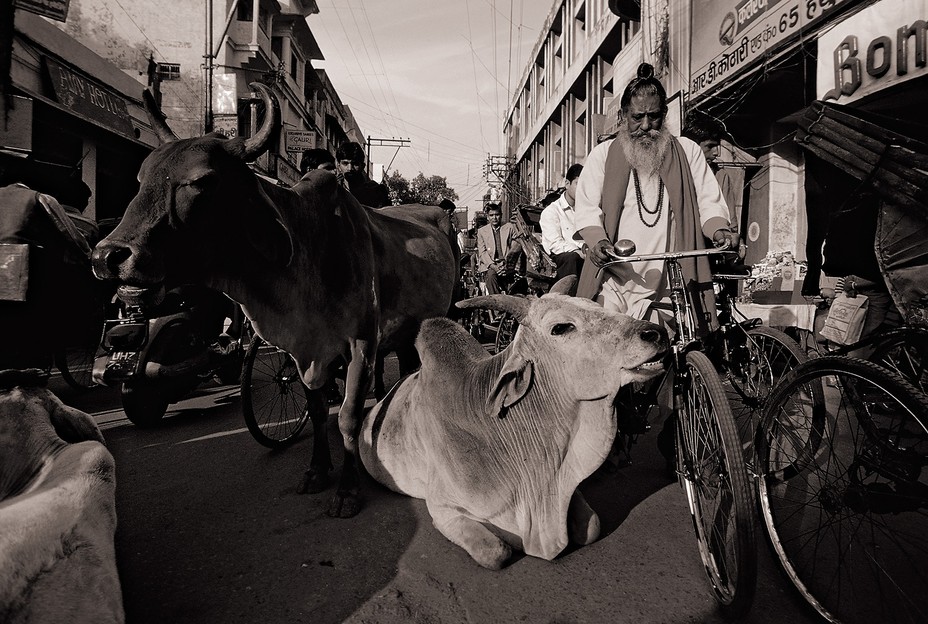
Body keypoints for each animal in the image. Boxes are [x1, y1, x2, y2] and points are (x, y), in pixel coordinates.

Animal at [92, 85, 458, 520]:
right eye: (141, 177)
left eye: (202, 181)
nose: (108, 255)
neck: (309, 248)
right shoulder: (308, 349)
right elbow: (317, 411)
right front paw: (317, 470)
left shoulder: (361, 345)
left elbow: (348, 417)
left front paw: (348, 491)